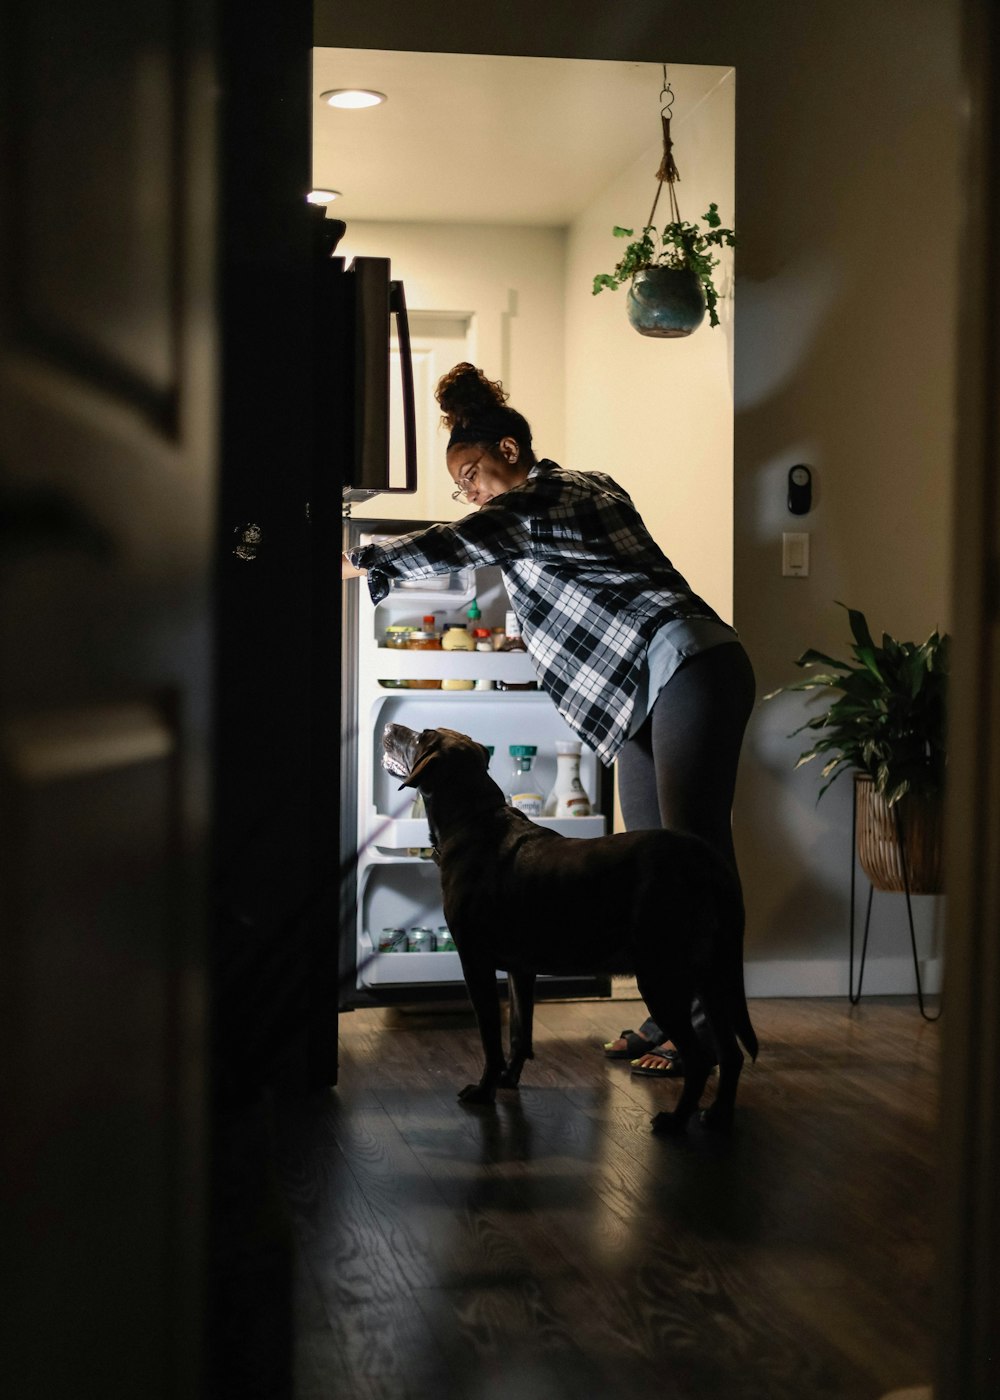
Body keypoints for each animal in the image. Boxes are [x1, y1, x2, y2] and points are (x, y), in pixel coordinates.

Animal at [380, 728, 756, 1131]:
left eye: (421, 737)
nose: (389, 728)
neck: (474, 818)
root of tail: (709, 862)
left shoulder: (475, 962)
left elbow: (490, 1038)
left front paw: (484, 1090)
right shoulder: (521, 970)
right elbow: (519, 1032)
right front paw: (508, 1079)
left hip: (663, 978)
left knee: (700, 1058)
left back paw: (675, 1121)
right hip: (711, 976)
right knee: (731, 1054)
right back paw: (717, 1116)